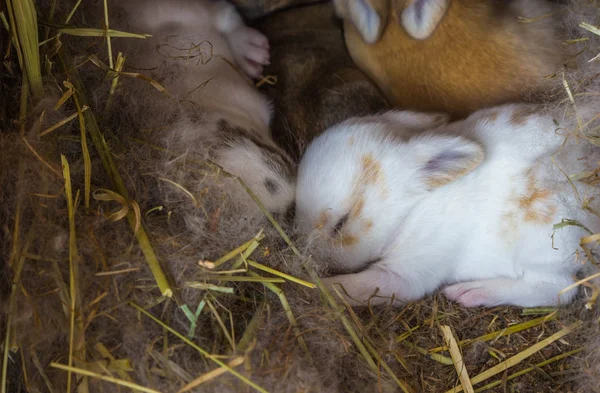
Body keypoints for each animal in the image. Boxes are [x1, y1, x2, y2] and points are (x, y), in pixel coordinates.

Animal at [296, 104, 600, 306]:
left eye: (341, 224)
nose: (314, 259)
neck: (410, 212)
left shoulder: (406, 274)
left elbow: (357, 286)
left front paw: (316, 286)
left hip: (543, 248)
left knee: (557, 290)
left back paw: (471, 292)